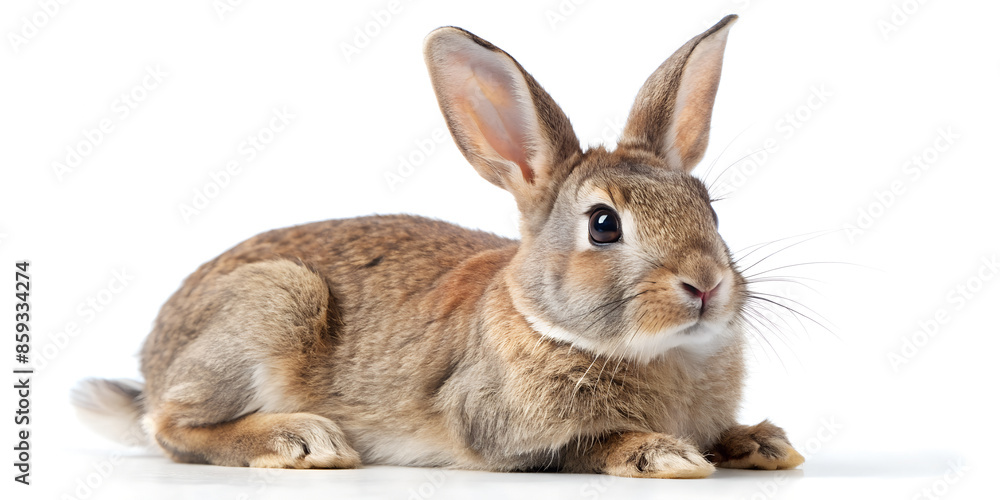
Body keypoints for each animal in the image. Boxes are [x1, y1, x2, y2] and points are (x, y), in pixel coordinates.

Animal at [72, 14, 805, 478]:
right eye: (603, 224)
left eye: (709, 209)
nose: (706, 285)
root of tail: (153, 366)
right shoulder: (500, 432)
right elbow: (587, 445)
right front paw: (667, 455)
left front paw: (763, 444)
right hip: (274, 304)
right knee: (172, 429)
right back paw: (301, 439)